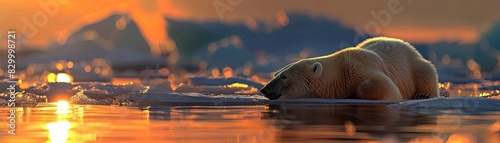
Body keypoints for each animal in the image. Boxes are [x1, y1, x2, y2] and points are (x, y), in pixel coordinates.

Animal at [260, 36, 440, 101]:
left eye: (284, 76)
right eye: (275, 74)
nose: (264, 89)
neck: (339, 73)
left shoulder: (359, 66)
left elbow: (385, 86)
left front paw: (354, 94)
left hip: (415, 65)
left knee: (427, 72)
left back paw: (424, 94)